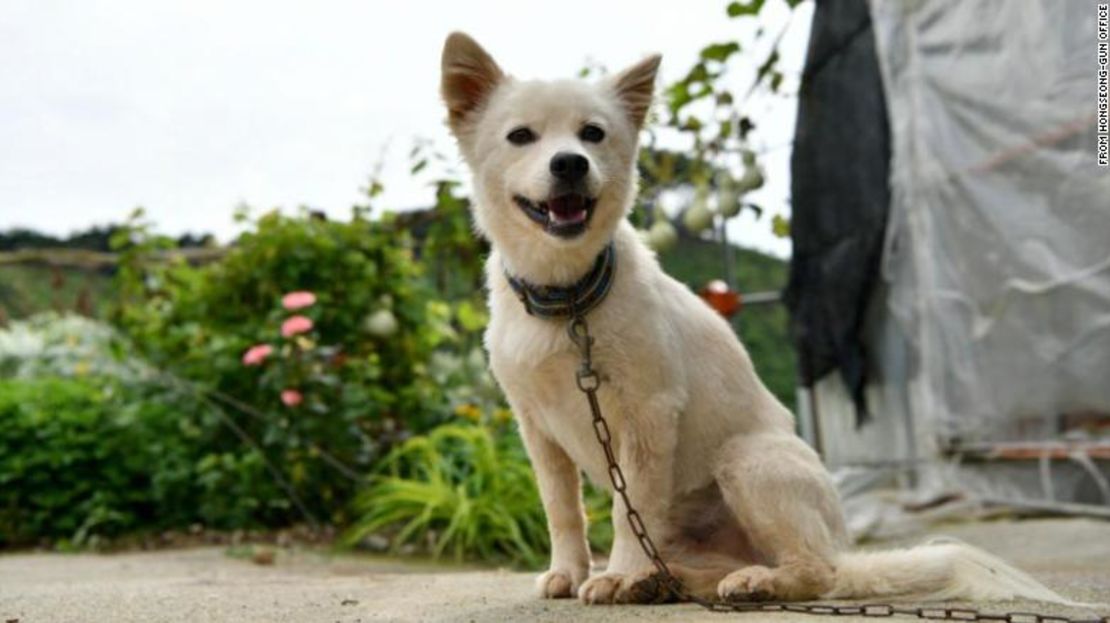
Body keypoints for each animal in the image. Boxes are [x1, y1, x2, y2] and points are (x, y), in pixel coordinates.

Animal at [437, 31, 1070, 604]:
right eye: (521, 137)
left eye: (593, 133)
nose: (570, 163)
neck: (568, 298)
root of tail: (842, 545)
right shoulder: (537, 429)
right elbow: (562, 509)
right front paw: (570, 571)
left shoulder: (646, 418)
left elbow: (626, 507)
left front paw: (616, 573)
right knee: (707, 565)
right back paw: (669, 582)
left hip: (747, 460)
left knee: (817, 572)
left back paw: (748, 582)